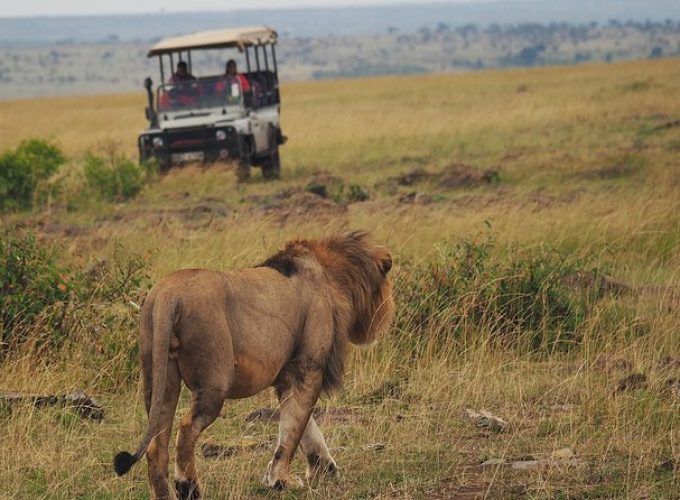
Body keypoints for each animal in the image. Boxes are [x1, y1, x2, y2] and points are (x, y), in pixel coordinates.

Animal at [115, 232, 396, 498]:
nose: (387, 313)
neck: (330, 275)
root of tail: (167, 296)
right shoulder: (308, 366)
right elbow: (295, 426)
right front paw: (282, 481)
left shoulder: (287, 374)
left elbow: (304, 427)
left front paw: (323, 467)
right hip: (215, 379)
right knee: (186, 427)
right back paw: (188, 488)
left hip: (160, 377)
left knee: (156, 442)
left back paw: (164, 494)